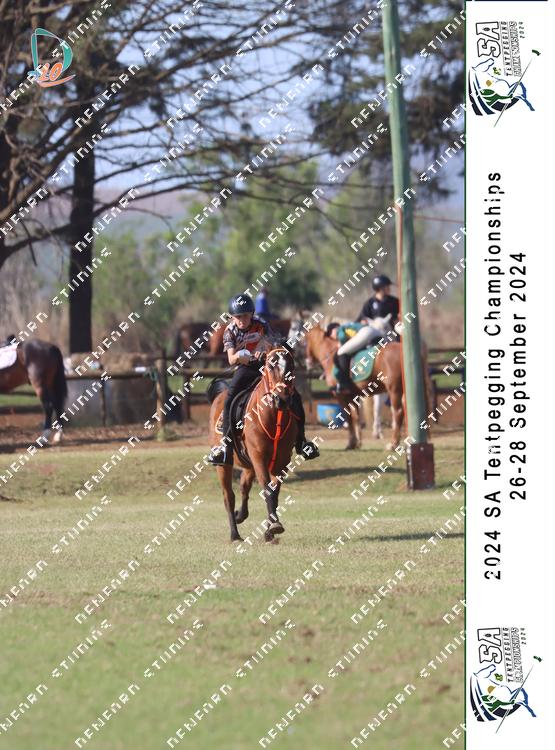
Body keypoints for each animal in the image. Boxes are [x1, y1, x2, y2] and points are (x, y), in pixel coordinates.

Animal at [208, 345, 299, 543]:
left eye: (292, 365)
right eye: (270, 366)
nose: (282, 399)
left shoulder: (282, 462)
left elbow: (274, 492)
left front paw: (270, 530)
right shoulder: (259, 458)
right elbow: (267, 489)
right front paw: (274, 526)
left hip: (248, 464)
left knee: (244, 487)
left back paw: (240, 515)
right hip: (224, 465)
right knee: (229, 496)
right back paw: (235, 534)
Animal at [305, 321, 431, 450]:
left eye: (305, 340)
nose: (308, 362)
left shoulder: (341, 396)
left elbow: (349, 418)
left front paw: (351, 443)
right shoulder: (352, 396)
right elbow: (355, 417)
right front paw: (358, 442)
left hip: (394, 389)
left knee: (398, 412)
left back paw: (393, 444)